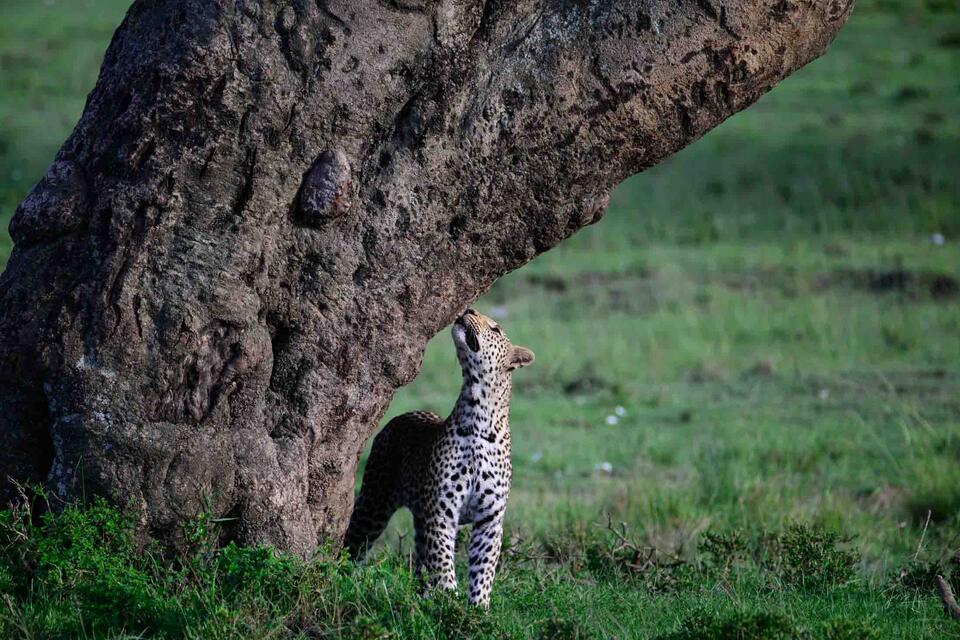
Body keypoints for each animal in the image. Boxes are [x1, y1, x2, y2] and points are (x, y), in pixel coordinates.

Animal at [344, 308, 535, 608]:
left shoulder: (490, 518)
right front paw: (449, 600)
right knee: (354, 542)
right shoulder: (442, 509)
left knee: (421, 560)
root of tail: (405, 415)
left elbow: (483, 569)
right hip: (374, 502)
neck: (478, 414)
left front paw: (476, 610)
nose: (469, 309)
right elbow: (443, 560)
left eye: (496, 329)